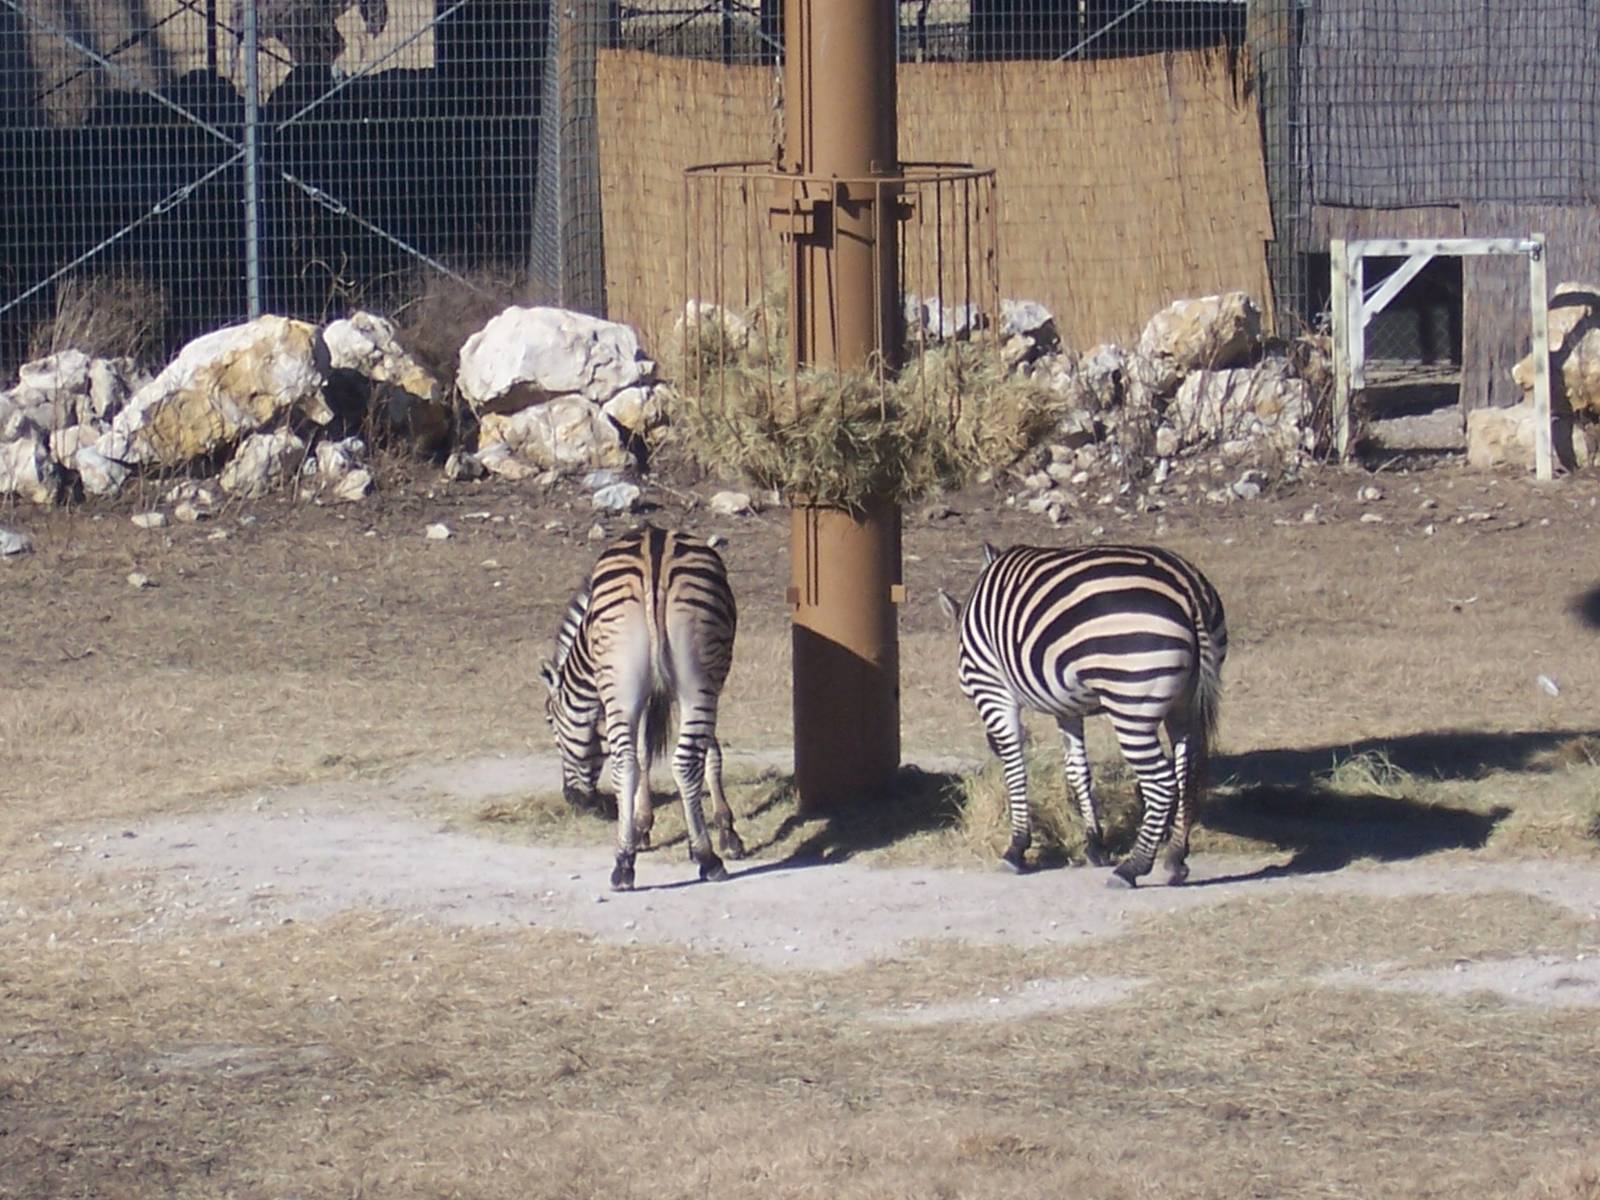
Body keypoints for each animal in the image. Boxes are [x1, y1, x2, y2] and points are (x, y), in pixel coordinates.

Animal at [540, 525, 744, 891]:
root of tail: (654, 549)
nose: (571, 799)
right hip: (697, 682)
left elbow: (651, 754)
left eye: (550, 720)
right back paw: (703, 858)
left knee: (627, 763)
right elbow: (683, 752)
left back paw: (626, 862)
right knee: (679, 761)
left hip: (628, 683)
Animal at [938, 541, 1227, 887]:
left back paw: (1132, 868)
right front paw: (1095, 846)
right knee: (1186, 774)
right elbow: (1078, 771)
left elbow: (1015, 766)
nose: (988, 743)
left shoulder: (991, 689)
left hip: (1132, 703)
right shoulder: (1067, 707)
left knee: (1162, 782)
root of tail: (1188, 588)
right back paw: (1175, 859)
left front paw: (1016, 848)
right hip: (1184, 703)